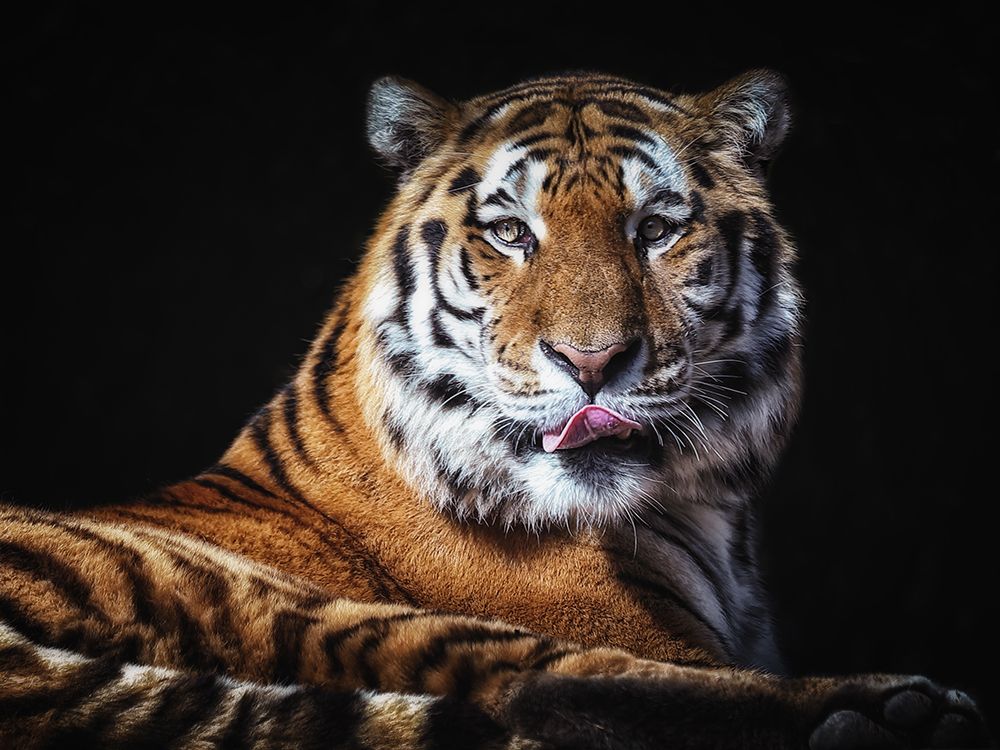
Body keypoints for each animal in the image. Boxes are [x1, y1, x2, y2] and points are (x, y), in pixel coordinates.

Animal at [0, 70, 990, 749]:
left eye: (656, 229)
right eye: (511, 232)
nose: (591, 362)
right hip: (241, 590)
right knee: (533, 679)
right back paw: (889, 716)